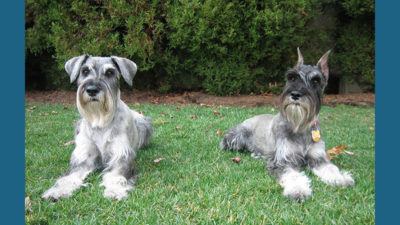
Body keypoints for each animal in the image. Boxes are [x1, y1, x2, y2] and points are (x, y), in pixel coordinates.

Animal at [42, 54, 153, 200]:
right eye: (84, 71)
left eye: (110, 72)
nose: (92, 90)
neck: (101, 121)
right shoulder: (83, 158)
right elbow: (70, 177)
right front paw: (58, 191)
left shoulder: (120, 157)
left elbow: (115, 175)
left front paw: (114, 191)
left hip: (143, 124)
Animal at [220, 48, 354, 200]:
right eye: (292, 77)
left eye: (316, 80)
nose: (295, 94)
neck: (300, 126)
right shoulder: (283, 161)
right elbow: (292, 175)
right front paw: (298, 190)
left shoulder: (319, 158)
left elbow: (330, 168)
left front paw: (341, 178)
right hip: (236, 138)